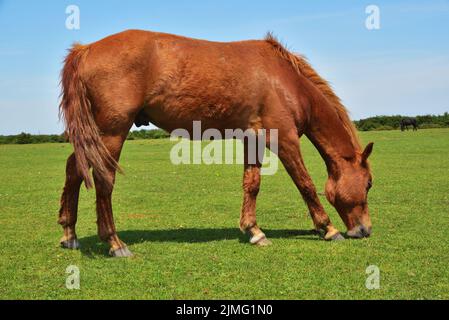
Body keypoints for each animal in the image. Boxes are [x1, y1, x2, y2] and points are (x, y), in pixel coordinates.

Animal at [59, 28, 374, 256]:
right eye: (369, 183)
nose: (365, 230)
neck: (284, 81)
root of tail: (85, 50)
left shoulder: (253, 140)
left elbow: (252, 184)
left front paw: (254, 231)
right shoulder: (284, 139)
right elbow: (305, 184)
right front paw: (328, 228)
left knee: (74, 169)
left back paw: (69, 234)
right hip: (111, 132)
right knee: (103, 179)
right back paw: (114, 242)